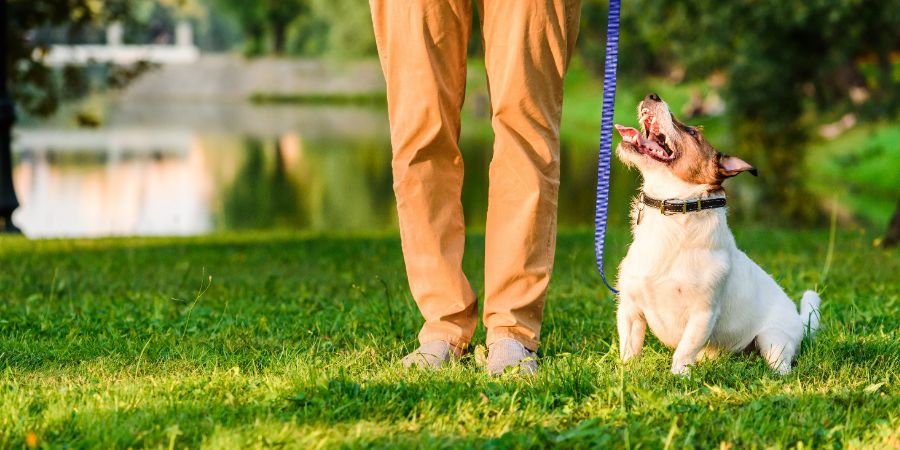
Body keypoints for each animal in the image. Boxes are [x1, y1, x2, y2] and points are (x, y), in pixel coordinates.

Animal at [612, 93, 824, 374]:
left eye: (692, 132)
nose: (653, 95)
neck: (674, 213)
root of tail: (800, 322)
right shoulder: (630, 308)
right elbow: (629, 349)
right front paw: (626, 374)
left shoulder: (703, 313)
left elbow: (684, 351)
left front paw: (679, 376)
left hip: (773, 339)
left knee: (782, 367)